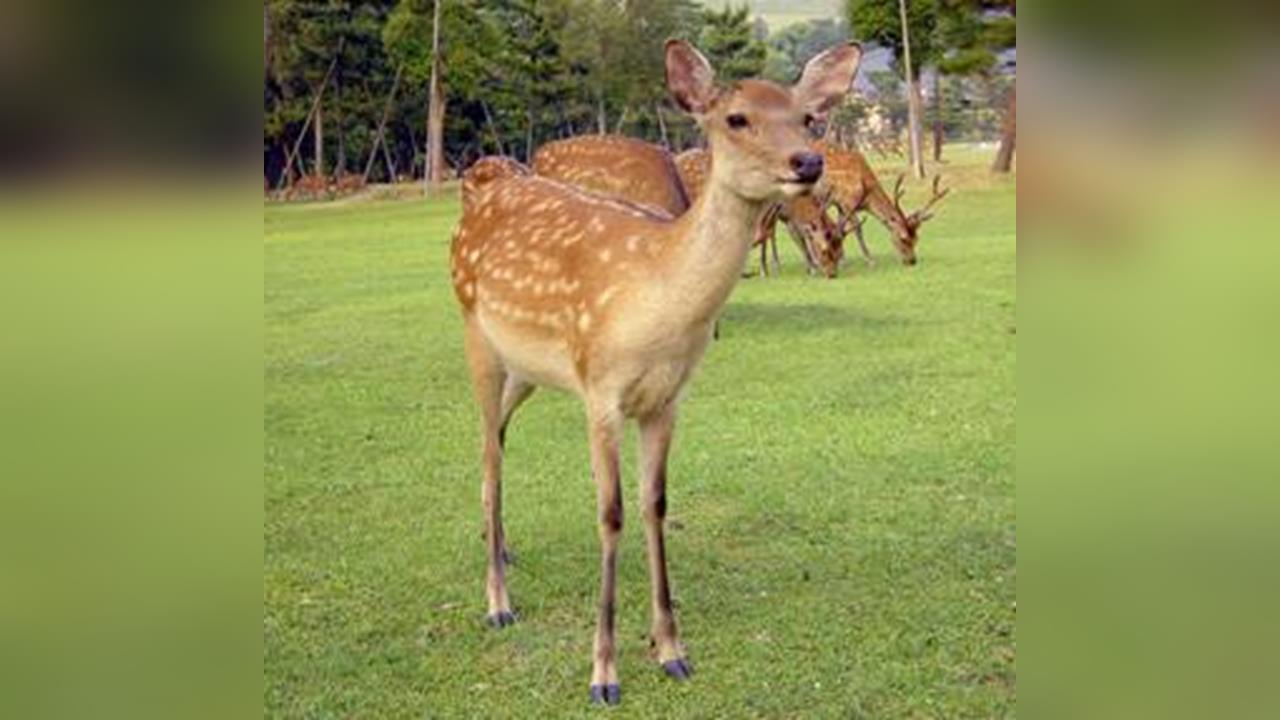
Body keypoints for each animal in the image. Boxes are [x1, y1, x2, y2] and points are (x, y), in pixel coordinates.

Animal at [675, 147, 844, 278]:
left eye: (839, 248)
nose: (832, 274)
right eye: (825, 251)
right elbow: (776, 234)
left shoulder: (781, 213)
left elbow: (777, 234)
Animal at [814, 140, 949, 266]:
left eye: (916, 238)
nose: (912, 261)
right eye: (903, 238)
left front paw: (842, 258)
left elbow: (839, 229)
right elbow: (857, 229)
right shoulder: (847, 202)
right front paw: (870, 259)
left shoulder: (840, 205)